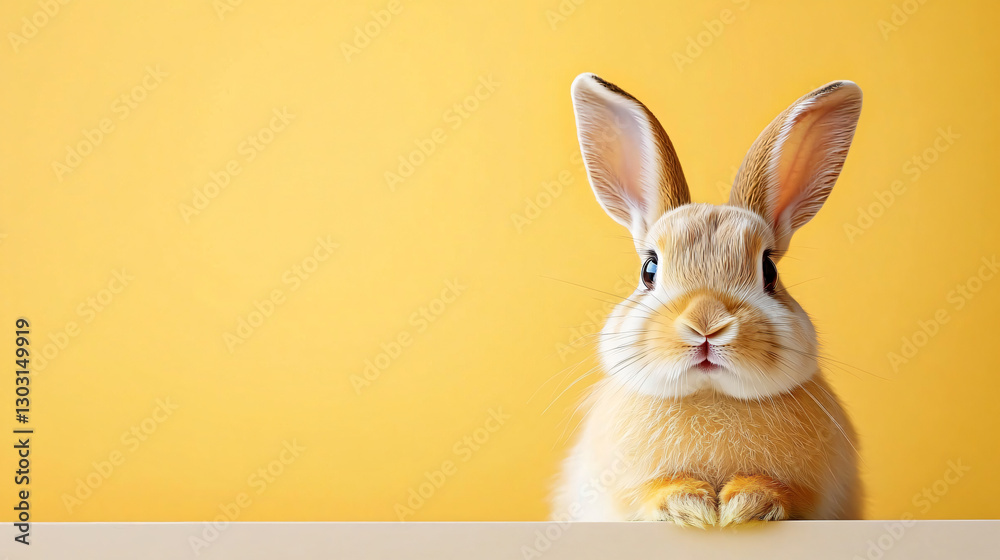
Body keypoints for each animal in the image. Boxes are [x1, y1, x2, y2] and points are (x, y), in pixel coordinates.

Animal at [552, 74, 863, 526]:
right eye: (649, 270)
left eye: (769, 271)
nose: (706, 324)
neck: (711, 394)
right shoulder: (619, 487)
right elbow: (648, 492)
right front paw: (688, 505)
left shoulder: (816, 491)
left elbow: (787, 493)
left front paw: (747, 505)